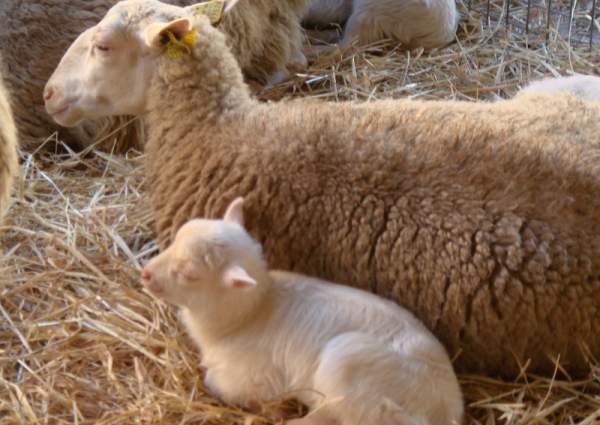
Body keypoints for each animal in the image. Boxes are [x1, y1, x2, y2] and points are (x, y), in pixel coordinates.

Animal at [142, 197, 464, 424]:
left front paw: (270, 408)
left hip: (349, 365)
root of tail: (446, 407)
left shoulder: (247, 379)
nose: (145, 273)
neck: (248, 314)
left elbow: (216, 382)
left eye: (189, 274)